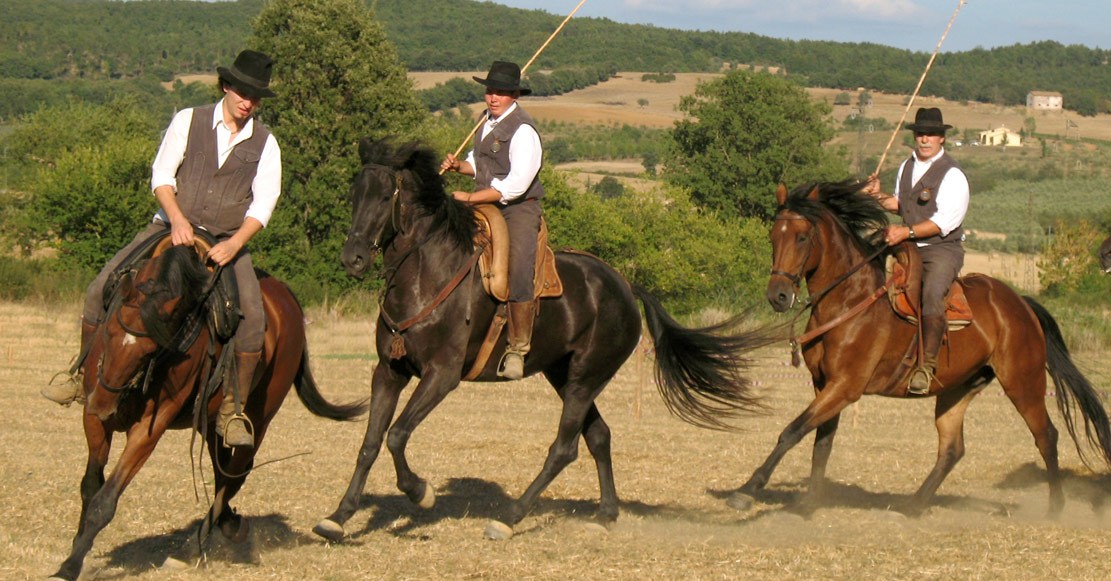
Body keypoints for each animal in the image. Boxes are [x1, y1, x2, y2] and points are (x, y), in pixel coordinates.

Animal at [52, 232, 366, 581]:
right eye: (108, 331)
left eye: (150, 350)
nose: (105, 406)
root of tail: (291, 304)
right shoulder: (93, 417)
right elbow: (90, 485)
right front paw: (78, 549)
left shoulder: (150, 426)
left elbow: (105, 500)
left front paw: (69, 566)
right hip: (209, 422)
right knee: (221, 471)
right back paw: (229, 524)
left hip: (258, 419)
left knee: (233, 476)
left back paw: (191, 549)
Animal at [308, 138, 768, 544]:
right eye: (354, 193)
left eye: (386, 196)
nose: (352, 259)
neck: (427, 275)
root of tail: (624, 285)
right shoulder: (389, 372)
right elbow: (370, 443)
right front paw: (338, 516)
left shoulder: (442, 375)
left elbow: (397, 435)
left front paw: (421, 492)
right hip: (564, 375)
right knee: (599, 436)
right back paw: (605, 514)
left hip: (585, 378)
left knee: (564, 447)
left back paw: (509, 518)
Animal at [728, 183, 1111, 517]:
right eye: (773, 236)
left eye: (802, 237)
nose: (778, 296)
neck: (848, 301)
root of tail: (1020, 304)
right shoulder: (824, 385)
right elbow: (821, 442)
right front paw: (809, 503)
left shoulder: (845, 387)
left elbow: (792, 431)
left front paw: (749, 489)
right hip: (958, 389)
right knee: (952, 449)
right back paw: (914, 505)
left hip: (1023, 383)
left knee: (1046, 436)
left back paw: (1054, 508)